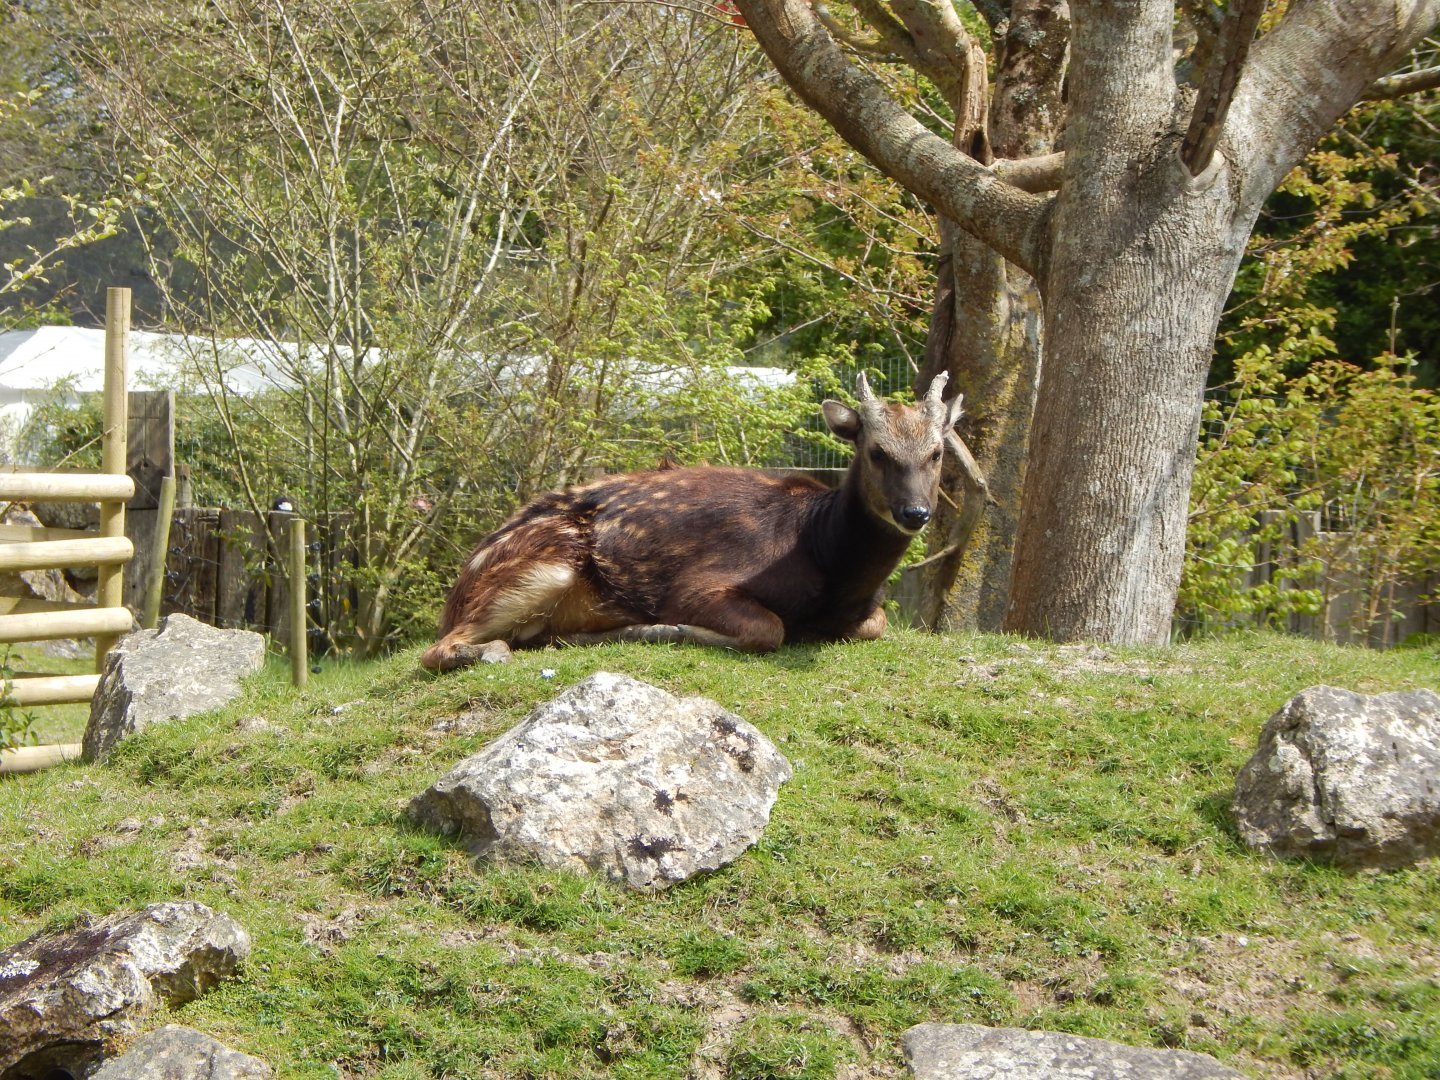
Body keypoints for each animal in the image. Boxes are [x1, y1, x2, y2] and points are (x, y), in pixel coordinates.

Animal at [420, 371, 983, 671]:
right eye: (876, 451)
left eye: (936, 453)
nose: (915, 512)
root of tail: (459, 587)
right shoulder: (699, 583)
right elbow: (769, 628)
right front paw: (667, 628)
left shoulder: (867, 613)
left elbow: (876, 624)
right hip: (546, 568)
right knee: (437, 649)